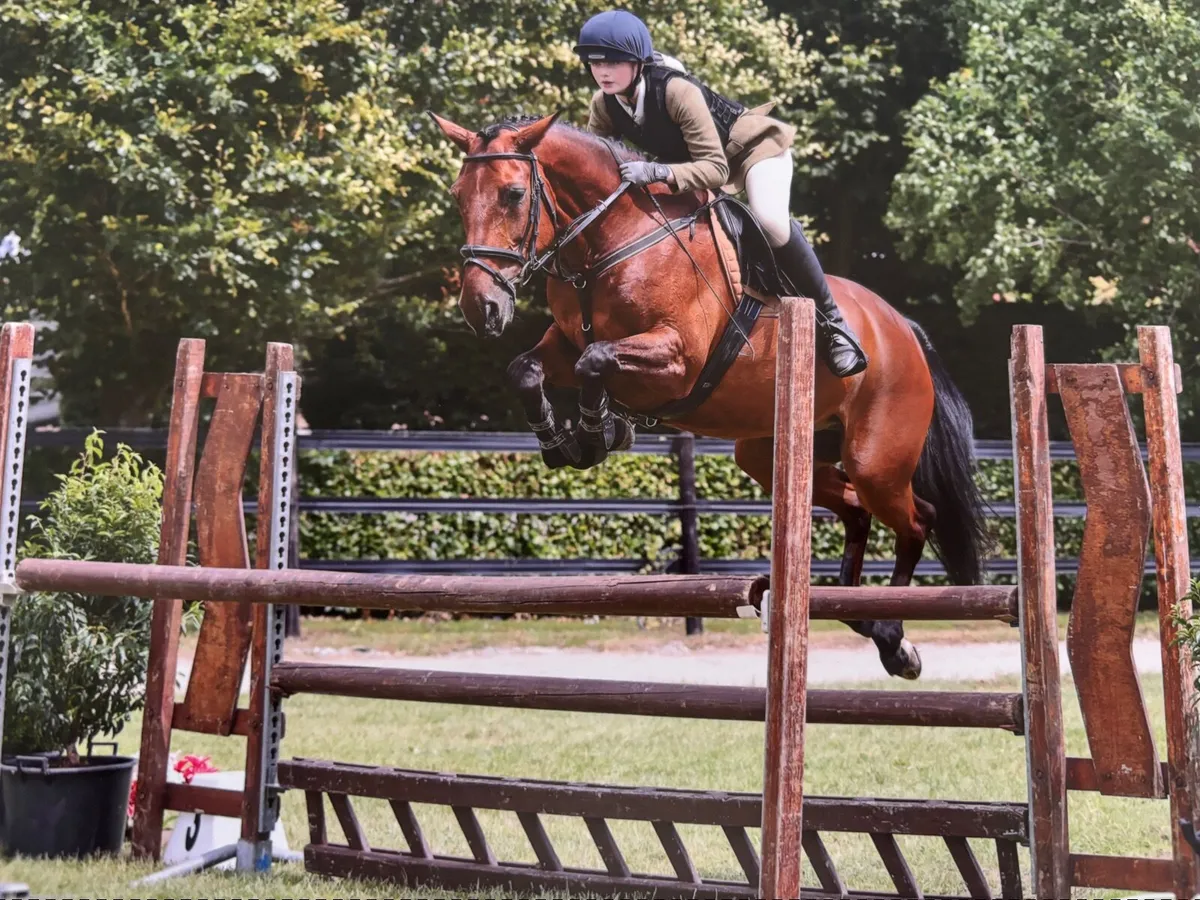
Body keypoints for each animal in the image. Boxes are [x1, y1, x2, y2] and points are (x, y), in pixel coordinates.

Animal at [429, 109, 989, 679]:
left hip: (876, 459)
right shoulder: (564, 345)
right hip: (771, 454)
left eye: (513, 194)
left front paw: (596, 429)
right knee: (856, 512)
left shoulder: (677, 359)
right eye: (458, 195)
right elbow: (527, 369)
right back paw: (859, 616)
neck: (609, 241)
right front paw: (567, 441)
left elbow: (597, 360)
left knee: (918, 519)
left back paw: (894, 639)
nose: (480, 307)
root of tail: (904, 329)